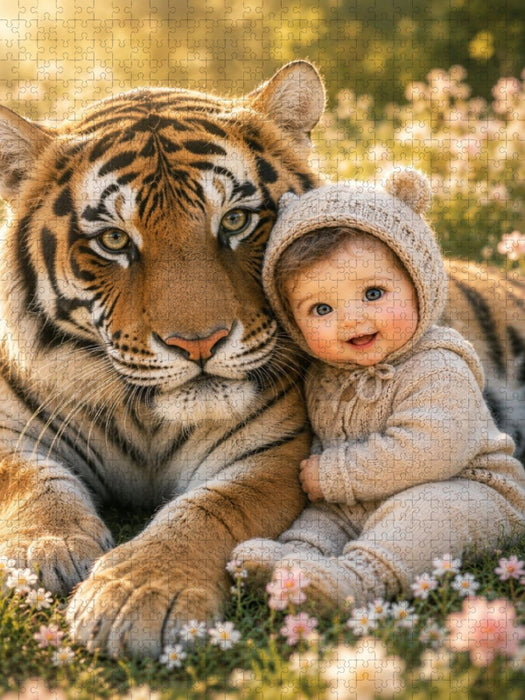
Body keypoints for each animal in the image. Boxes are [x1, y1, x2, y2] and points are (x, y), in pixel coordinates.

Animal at [0, 60, 523, 659]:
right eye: (113, 240)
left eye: (234, 222)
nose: (199, 344)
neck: (146, 418)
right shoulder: (11, 430)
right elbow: (29, 479)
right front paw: (47, 548)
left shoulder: (276, 450)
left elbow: (214, 509)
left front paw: (138, 593)